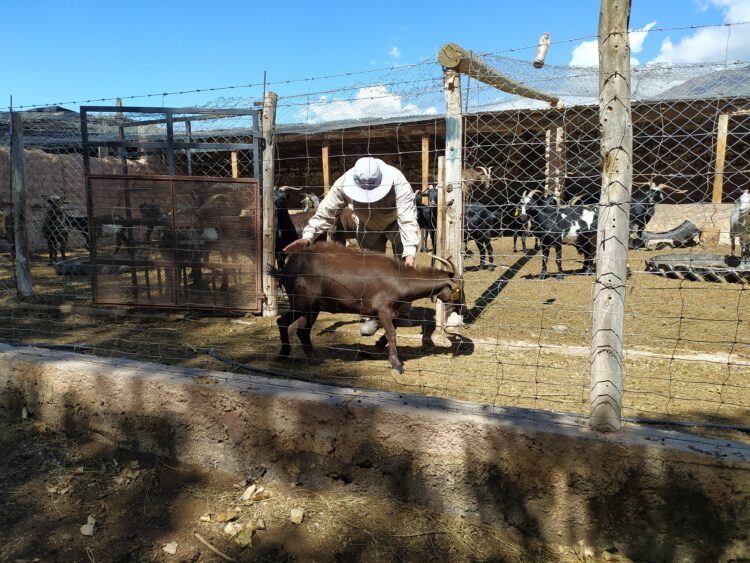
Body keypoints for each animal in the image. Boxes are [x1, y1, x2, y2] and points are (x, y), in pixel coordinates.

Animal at [271, 242, 464, 373]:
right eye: (459, 291)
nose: (461, 310)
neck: (401, 279)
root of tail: (286, 269)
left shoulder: (391, 311)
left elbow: (393, 328)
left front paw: (379, 344)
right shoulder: (383, 309)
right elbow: (392, 333)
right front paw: (396, 364)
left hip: (311, 308)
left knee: (298, 328)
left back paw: (303, 357)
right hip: (302, 303)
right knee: (288, 323)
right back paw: (293, 355)